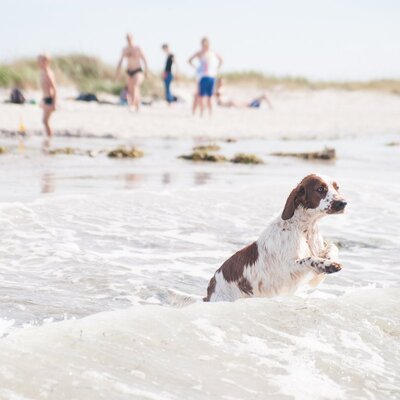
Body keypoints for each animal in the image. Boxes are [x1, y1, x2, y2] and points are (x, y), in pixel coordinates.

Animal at [204, 174, 346, 302]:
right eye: (320, 189)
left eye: (337, 187)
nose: (343, 203)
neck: (304, 229)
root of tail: (211, 288)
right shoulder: (288, 267)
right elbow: (309, 259)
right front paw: (328, 265)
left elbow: (332, 247)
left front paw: (330, 259)